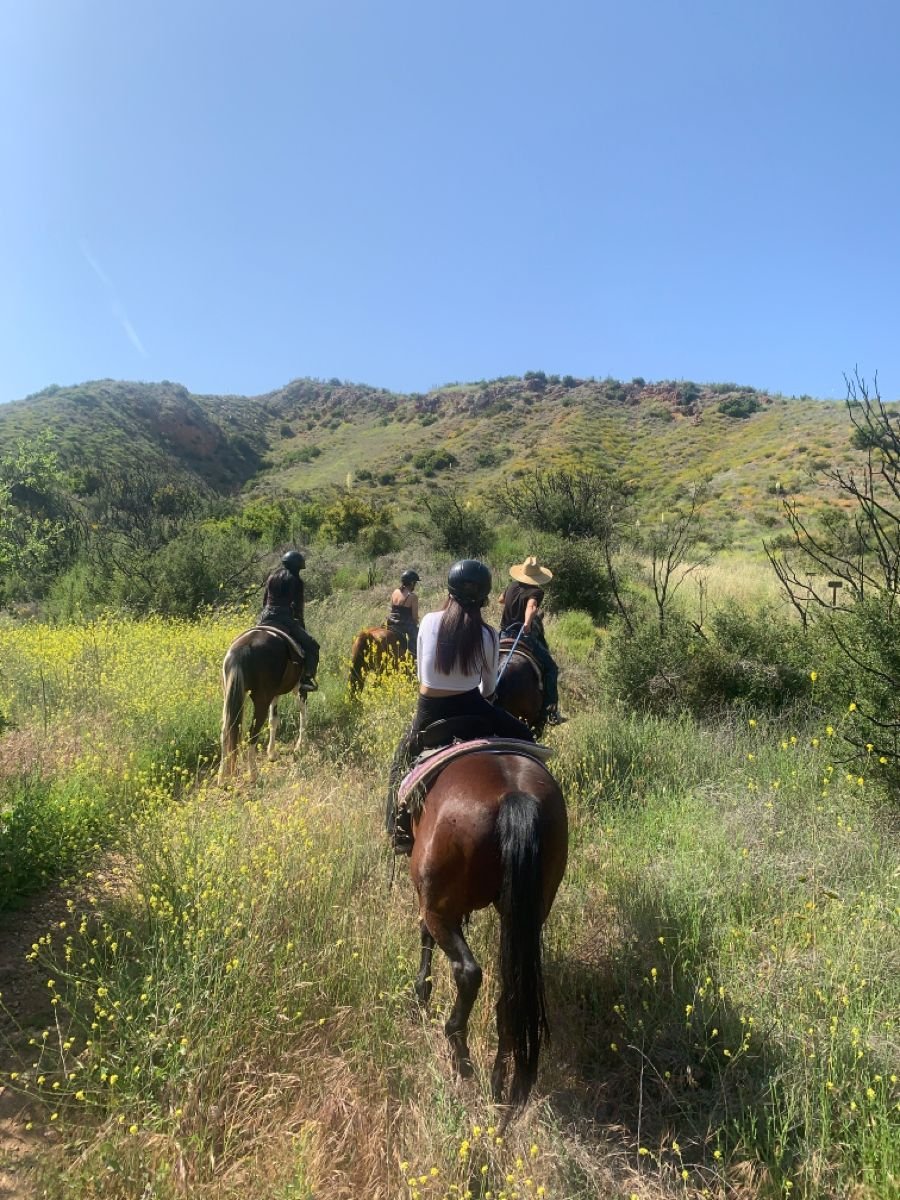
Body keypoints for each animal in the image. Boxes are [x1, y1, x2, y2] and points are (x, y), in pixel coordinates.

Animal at [218, 628, 307, 783]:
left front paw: (272, 753)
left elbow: (273, 720)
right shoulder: (299, 689)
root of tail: (244, 649)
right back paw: (254, 774)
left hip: (231, 698)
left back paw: (222, 777)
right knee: (253, 734)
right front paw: (299, 746)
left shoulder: (275, 694)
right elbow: (302, 713)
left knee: (226, 732)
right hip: (261, 702)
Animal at [409, 751, 567, 1108]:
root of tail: (514, 795)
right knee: (510, 1000)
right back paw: (498, 1088)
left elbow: (424, 933)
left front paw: (420, 994)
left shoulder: (430, 899)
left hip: (440, 906)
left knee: (467, 971)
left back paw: (461, 1057)